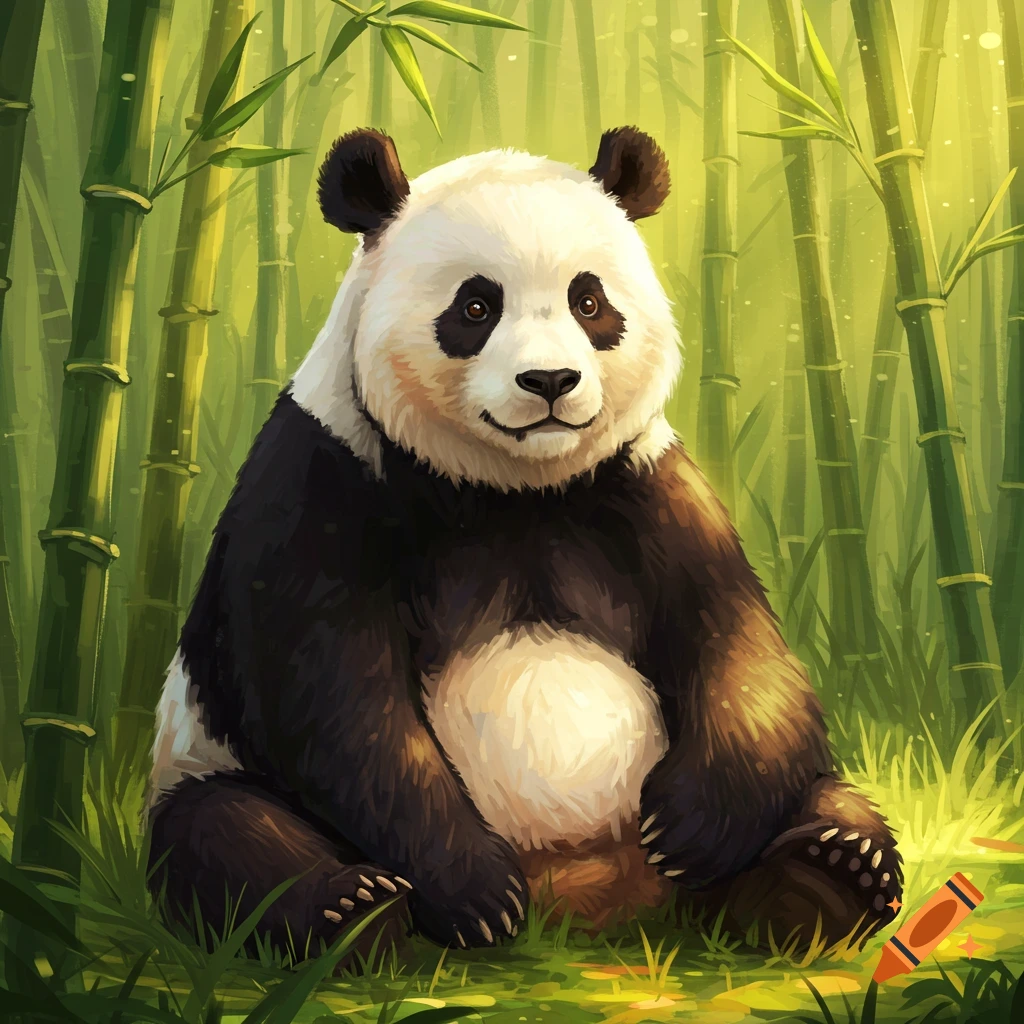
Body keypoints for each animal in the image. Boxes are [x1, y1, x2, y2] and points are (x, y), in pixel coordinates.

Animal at [148, 126, 902, 955]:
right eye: (476, 306)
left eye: (589, 300)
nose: (550, 381)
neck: (512, 492)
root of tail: (582, 897)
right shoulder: (323, 479)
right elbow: (335, 697)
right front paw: (472, 888)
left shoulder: (646, 486)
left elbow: (741, 648)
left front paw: (689, 826)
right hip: (199, 763)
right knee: (226, 834)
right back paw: (353, 912)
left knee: (827, 796)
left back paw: (826, 873)